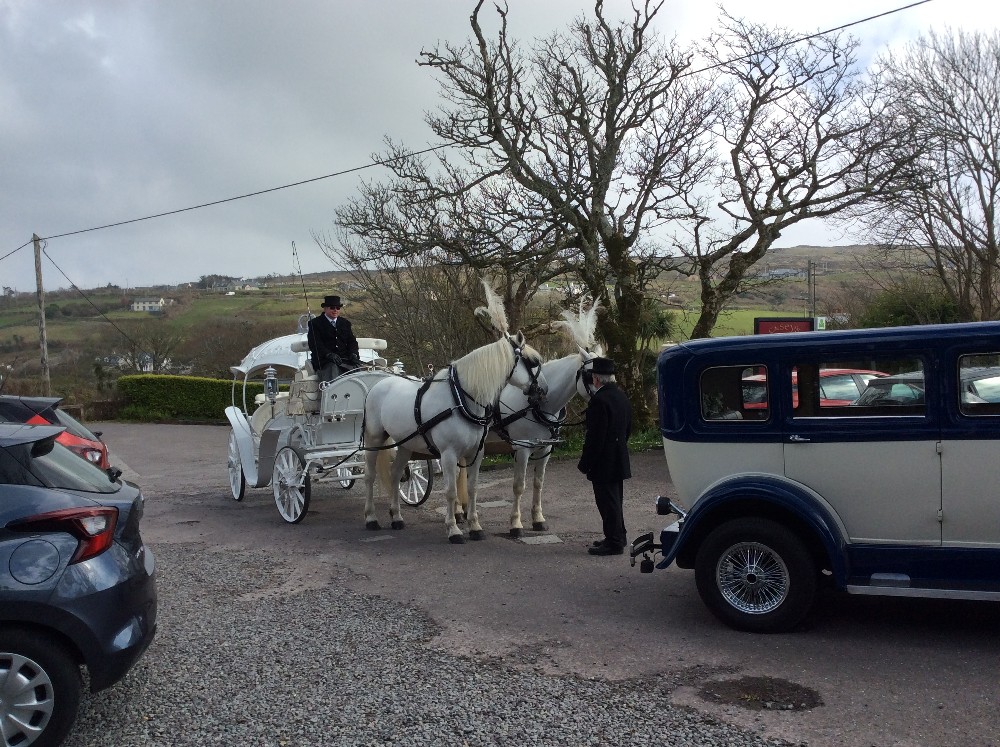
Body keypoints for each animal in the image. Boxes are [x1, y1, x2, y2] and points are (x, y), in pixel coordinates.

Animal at [364, 290, 548, 540]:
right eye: (533, 361)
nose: (544, 390)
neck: (461, 399)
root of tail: (379, 384)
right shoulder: (449, 454)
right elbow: (451, 491)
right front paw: (453, 529)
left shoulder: (476, 453)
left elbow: (472, 488)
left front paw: (475, 526)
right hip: (374, 440)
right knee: (370, 477)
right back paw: (371, 518)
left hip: (404, 444)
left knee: (394, 475)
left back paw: (397, 517)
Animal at [456, 298, 600, 536]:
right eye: (591, 376)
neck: (537, 406)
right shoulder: (522, 448)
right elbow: (518, 486)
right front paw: (516, 523)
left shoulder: (545, 448)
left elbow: (538, 483)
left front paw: (538, 519)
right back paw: (459, 511)